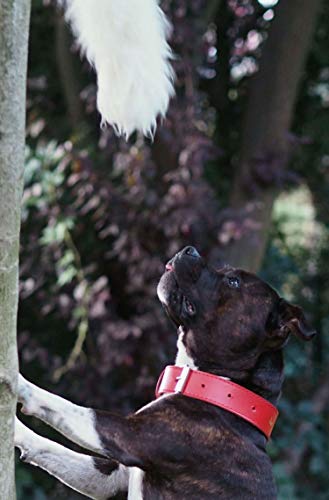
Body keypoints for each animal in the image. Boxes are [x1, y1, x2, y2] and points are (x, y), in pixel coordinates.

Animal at [15, 247, 316, 500]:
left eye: (233, 282)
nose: (189, 249)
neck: (222, 389)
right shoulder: (109, 478)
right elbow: (47, 445)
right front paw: (15, 430)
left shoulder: (126, 435)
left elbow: (62, 404)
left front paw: (16, 380)